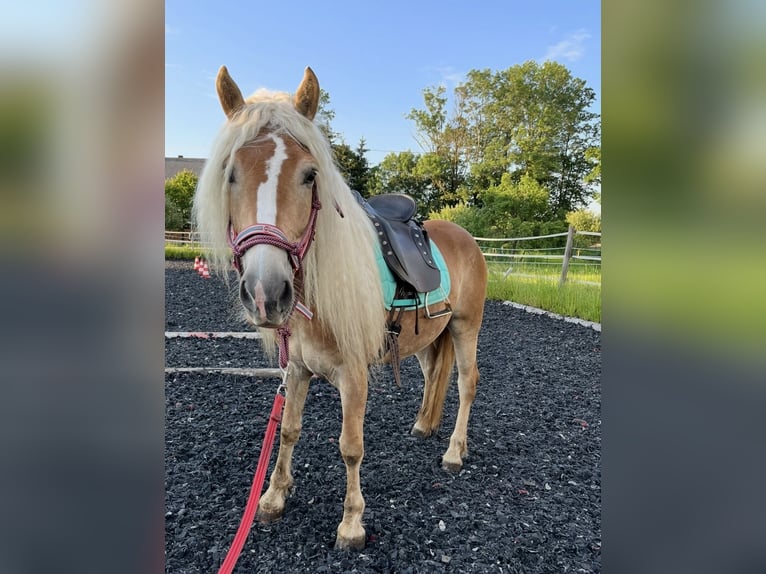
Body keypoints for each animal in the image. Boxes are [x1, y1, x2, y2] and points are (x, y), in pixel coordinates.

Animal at [195, 65, 488, 552]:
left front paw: (352, 525)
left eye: (310, 175)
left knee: (467, 383)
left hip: (467, 327)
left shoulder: (354, 376)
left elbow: (351, 446)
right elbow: (288, 430)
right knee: (435, 375)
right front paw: (273, 497)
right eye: (230, 174)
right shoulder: (295, 371)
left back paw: (453, 452)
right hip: (432, 335)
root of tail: (466, 236)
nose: (266, 292)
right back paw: (423, 427)